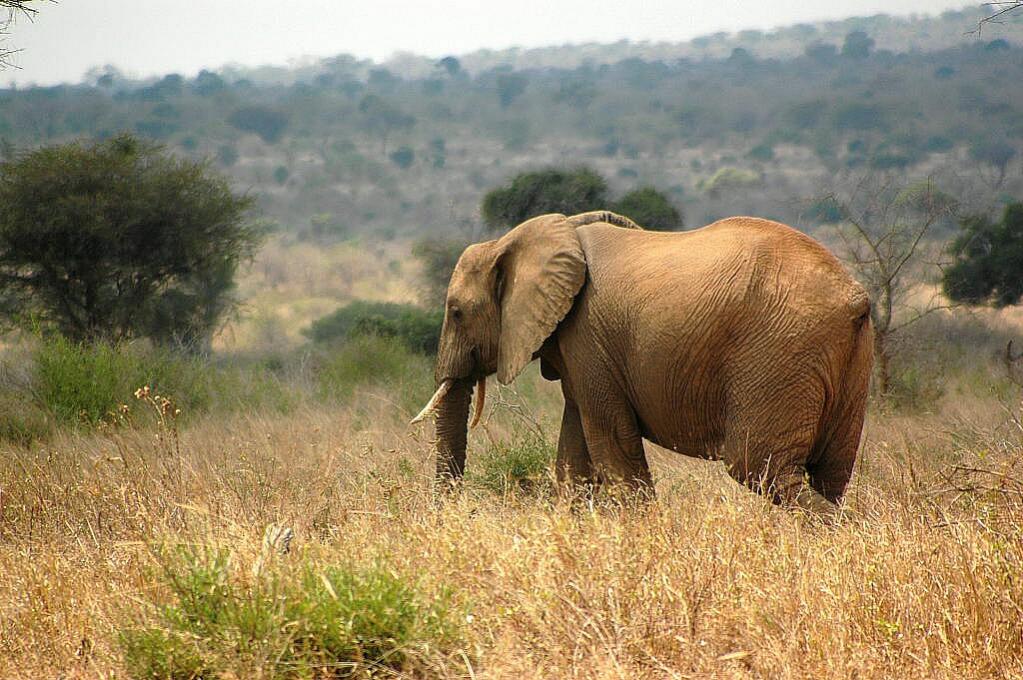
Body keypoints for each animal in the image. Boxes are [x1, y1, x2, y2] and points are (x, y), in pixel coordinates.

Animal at [412, 211, 873, 512]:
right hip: (843, 362)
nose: (452, 514)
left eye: (456, 312)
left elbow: (613, 448)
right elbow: (575, 457)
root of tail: (855, 298)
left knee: (761, 466)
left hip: (779, 353)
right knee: (830, 474)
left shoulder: (587, 335)